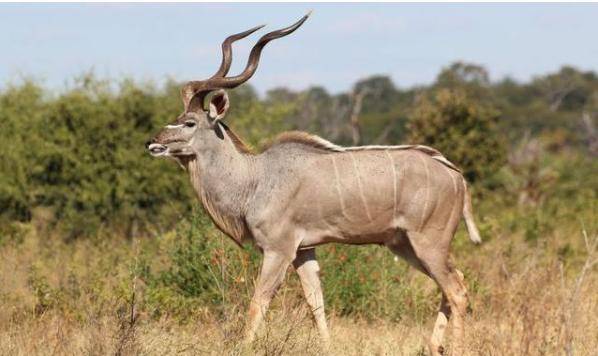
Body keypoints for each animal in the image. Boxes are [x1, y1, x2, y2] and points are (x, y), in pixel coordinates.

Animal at [148, 13, 486, 354]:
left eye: (189, 123)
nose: (153, 143)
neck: (255, 178)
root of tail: (456, 176)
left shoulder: (279, 249)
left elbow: (258, 302)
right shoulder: (304, 251)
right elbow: (316, 302)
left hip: (428, 242)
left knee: (457, 290)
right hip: (404, 244)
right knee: (452, 285)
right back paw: (433, 345)